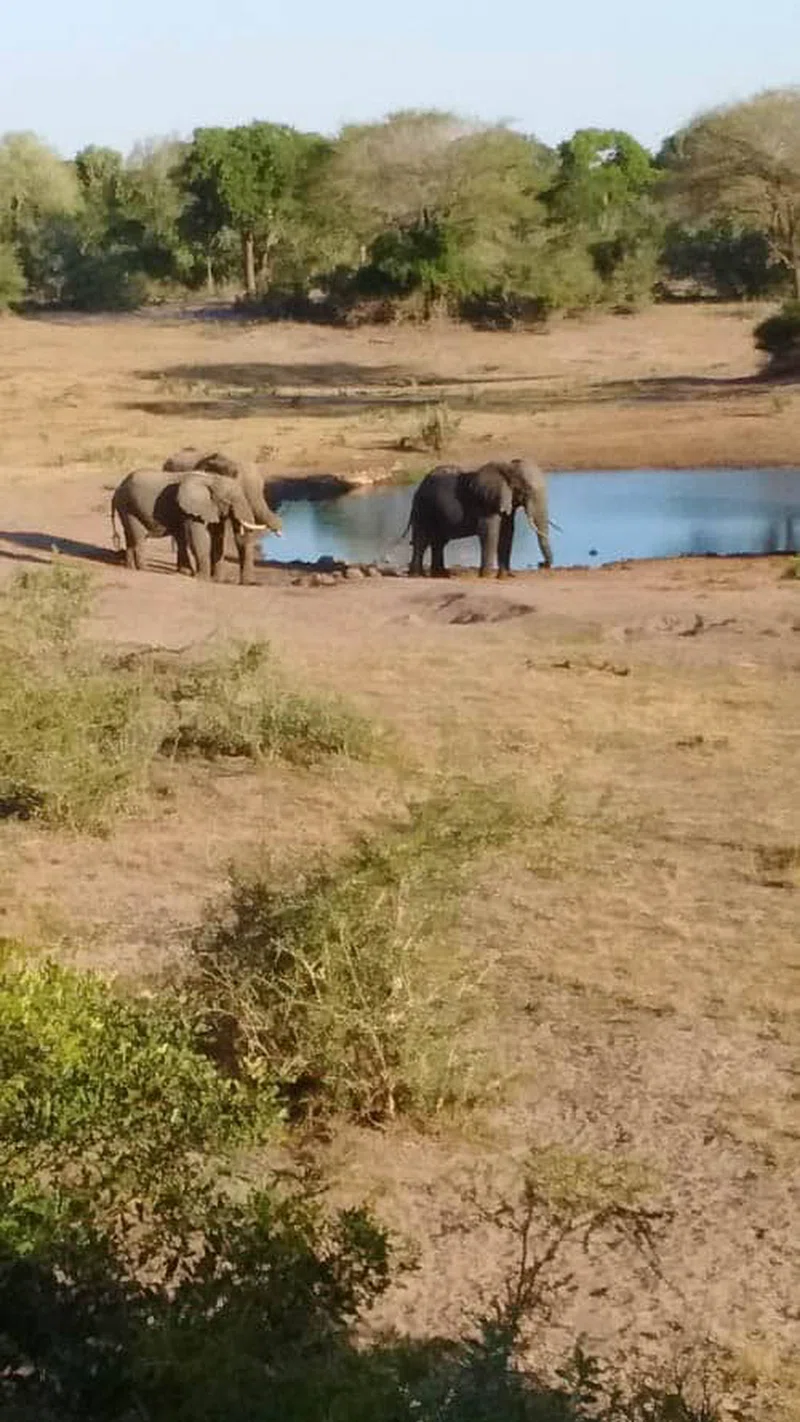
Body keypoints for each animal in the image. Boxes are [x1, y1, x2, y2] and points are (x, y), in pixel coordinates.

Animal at [110, 466, 282, 580]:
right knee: (138, 536)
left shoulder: (211, 508)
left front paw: (215, 579)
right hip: (129, 507)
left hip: (126, 507)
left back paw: (132, 567)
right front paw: (203, 578)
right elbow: (198, 538)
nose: (247, 583)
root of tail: (118, 489)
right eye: (228, 501)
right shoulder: (193, 509)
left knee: (131, 535)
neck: (211, 479)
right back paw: (145, 569)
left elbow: (217, 537)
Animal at [161, 448, 281, 584]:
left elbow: (231, 535)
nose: (279, 530)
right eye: (241, 490)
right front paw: (216, 579)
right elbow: (215, 531)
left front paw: (245, 583)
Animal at [406, 458, 553, 578]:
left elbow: (507, 533)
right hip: (423, 508)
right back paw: (417, 575)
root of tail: (419, 487)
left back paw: (440, 575)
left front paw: (504, 577)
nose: (541, 564)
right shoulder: (487, 503)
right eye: (527, 490)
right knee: (422, 540)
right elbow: (490, 533)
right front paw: (486, 576)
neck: (508, 467)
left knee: (438, 542)